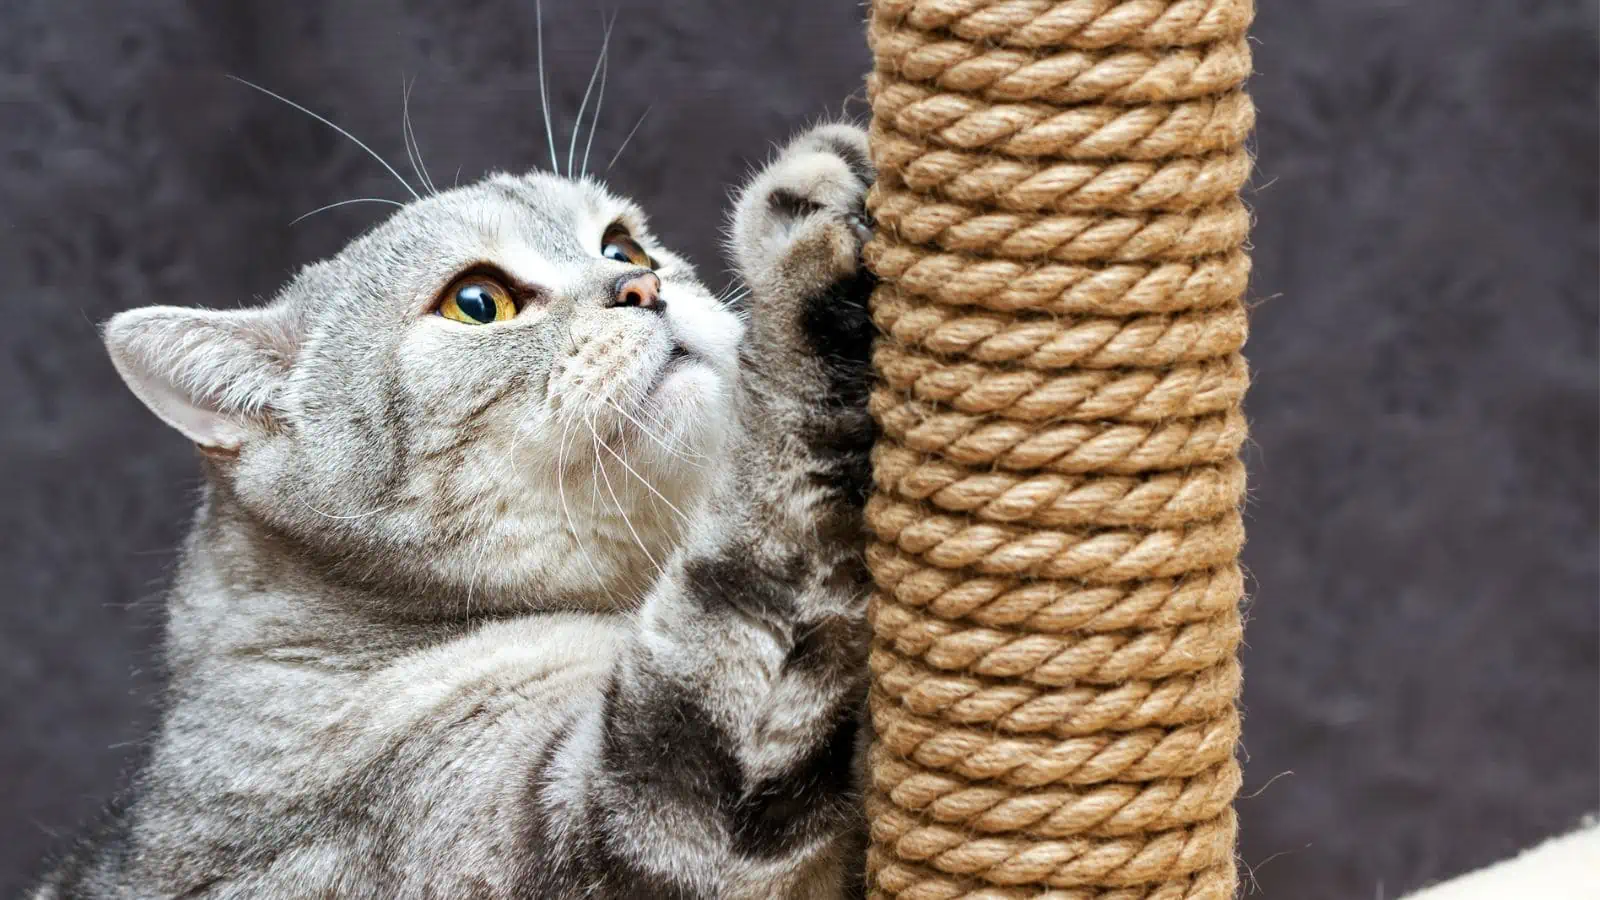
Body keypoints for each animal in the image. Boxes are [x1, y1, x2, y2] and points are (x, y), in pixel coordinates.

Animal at [34, 120, 889, 896]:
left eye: (623, 247)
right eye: (478, 303)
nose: (645, 288)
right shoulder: (631, 813)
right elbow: (773, 510)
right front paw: (802, 246)